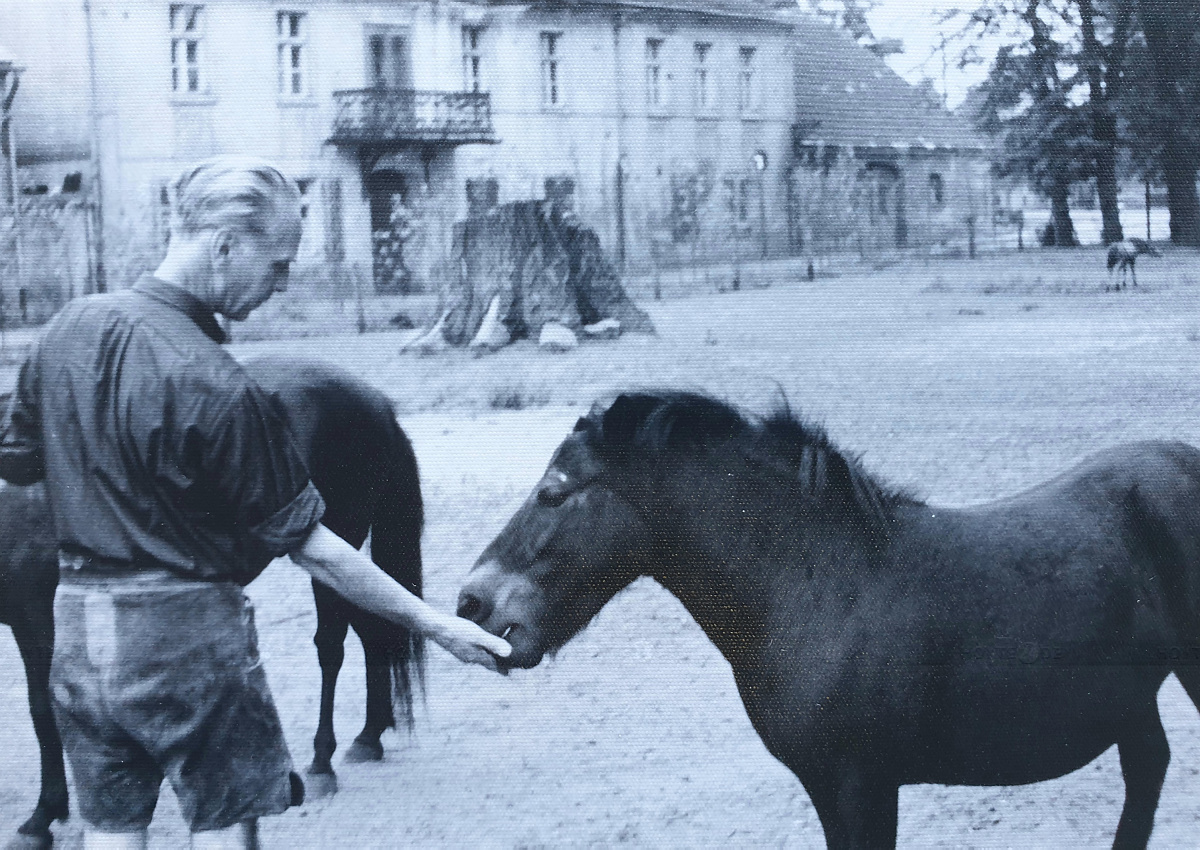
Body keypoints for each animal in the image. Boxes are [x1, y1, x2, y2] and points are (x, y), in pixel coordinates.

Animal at [458, 391, 1200, 850]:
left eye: (554, 493)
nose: (471, 602)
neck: (815, 589)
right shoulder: (827, 788)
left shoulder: (862, 787)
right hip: (1130, 697)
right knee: (1148, 769)